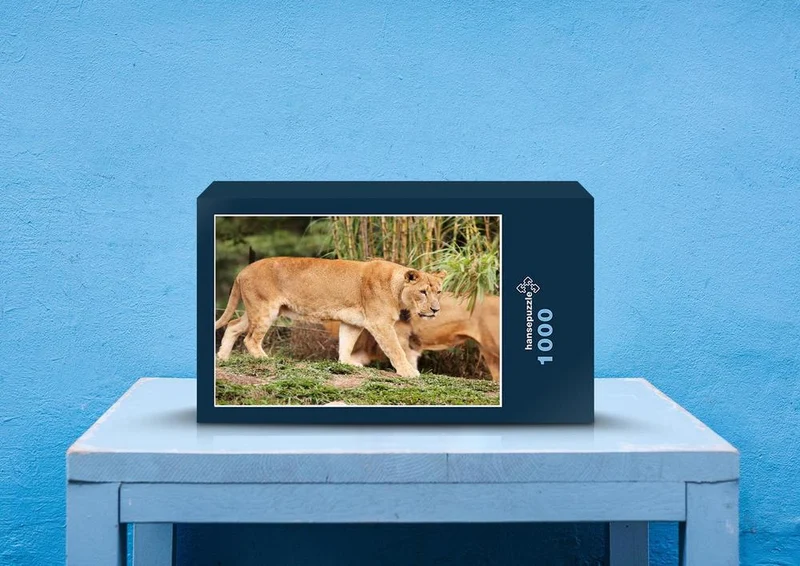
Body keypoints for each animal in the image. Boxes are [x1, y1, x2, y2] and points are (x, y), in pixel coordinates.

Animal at [214, 257, 446, 378]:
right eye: (423, 292)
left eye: (439, 292)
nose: (436, 310)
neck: (396, 288)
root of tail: (243, 271)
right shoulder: (380, 323)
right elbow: (395, 349)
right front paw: (408, 372)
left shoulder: (353, 323)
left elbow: (346, 344)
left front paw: (347, 364)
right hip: (265, 309)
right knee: (250, 338)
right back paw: (264, 358)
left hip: (256, 310)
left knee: (233, 325)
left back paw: (222, 358)